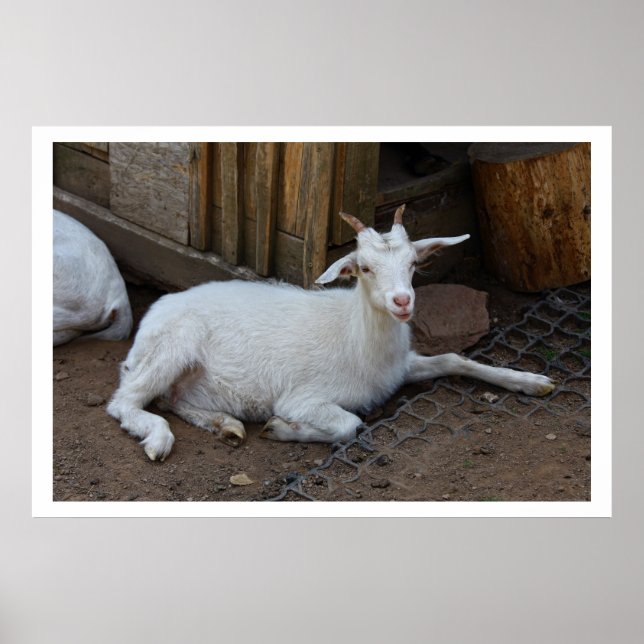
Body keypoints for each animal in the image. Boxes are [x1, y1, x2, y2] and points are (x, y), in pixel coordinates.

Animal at [107, 205, 554, 461]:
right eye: (364, 268)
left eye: (413, 264)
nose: (402, 302)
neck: (357, 338)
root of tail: (154, 313)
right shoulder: (303, 397)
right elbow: (348, 425)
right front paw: (282, 429)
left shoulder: (400, 367)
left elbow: (454, 357)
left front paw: (532, 381)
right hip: (171, 349)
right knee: (125, 402)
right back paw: (159, 439)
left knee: (173, 400)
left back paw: (224, 424)